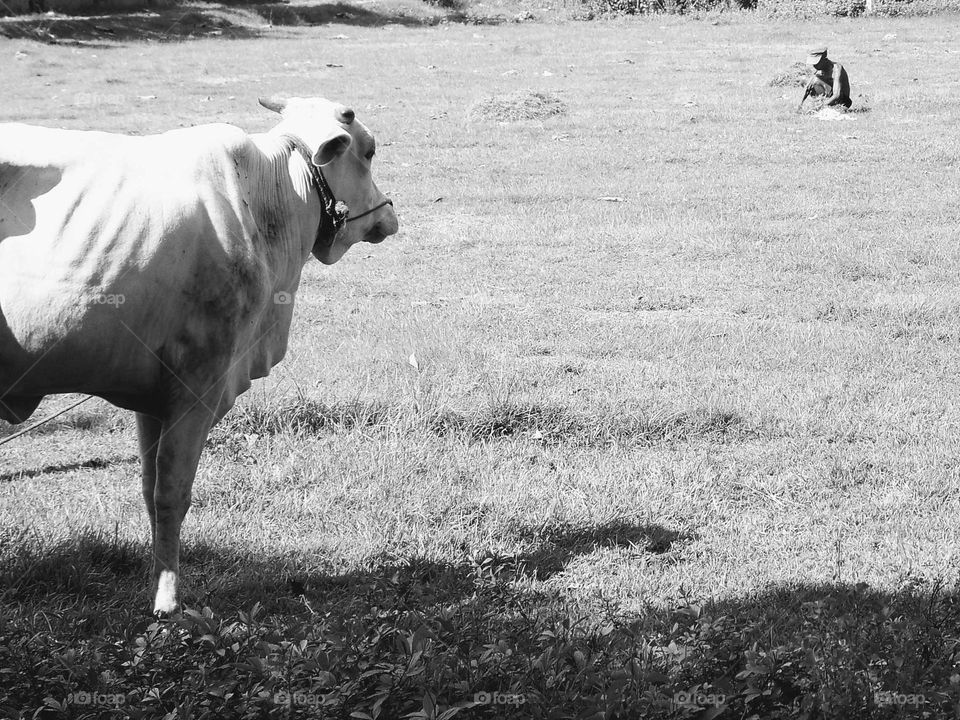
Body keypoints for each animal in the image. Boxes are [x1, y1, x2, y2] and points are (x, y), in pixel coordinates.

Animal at [0, 96, 399, 613]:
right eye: (368, 152)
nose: (389, 217)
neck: (265, 200)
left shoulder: (152, 396)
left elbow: (149, 490)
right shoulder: (198, 386)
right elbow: (173, 494)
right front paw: (169, 600)